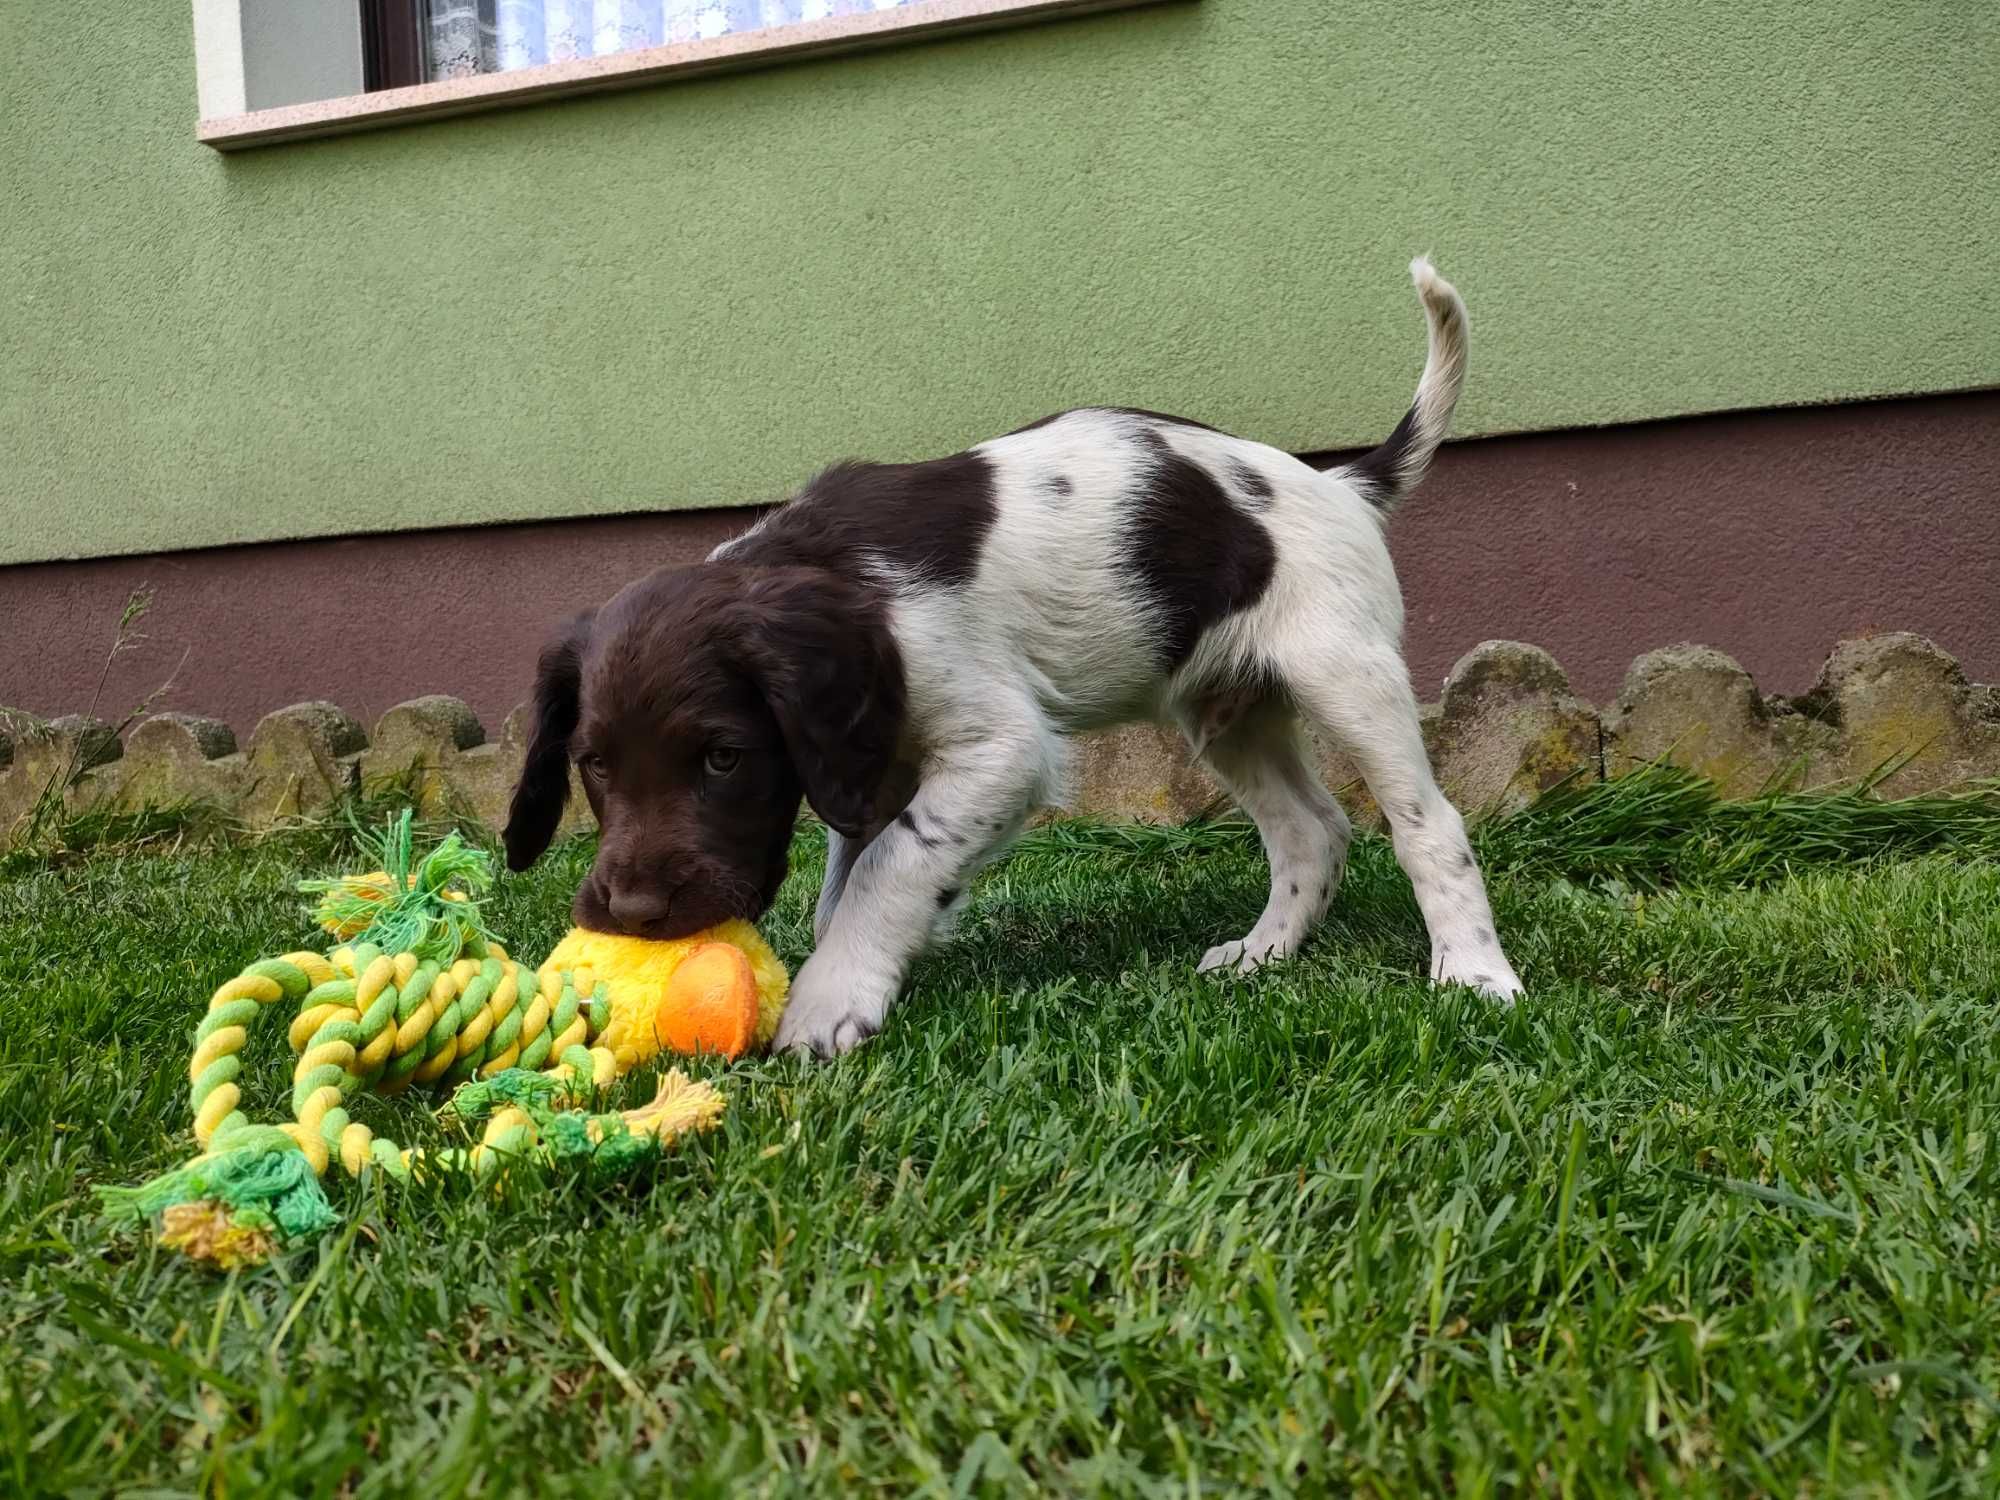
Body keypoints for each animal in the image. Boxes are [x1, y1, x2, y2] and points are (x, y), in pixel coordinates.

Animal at [508, 262, 1520, 1056]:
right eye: (593, 764)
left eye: (724, 758)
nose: (633, 915)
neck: (826, 573)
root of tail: (1341, 481)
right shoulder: (870, 760)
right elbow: (851, 877)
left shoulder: (999, 746)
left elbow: (890, 867)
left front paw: (828, 1000)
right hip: (1228, 710)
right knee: (1312, 830)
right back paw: (1261, 954)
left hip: (1347, 672)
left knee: (1429, 827)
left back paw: (1474, 974)